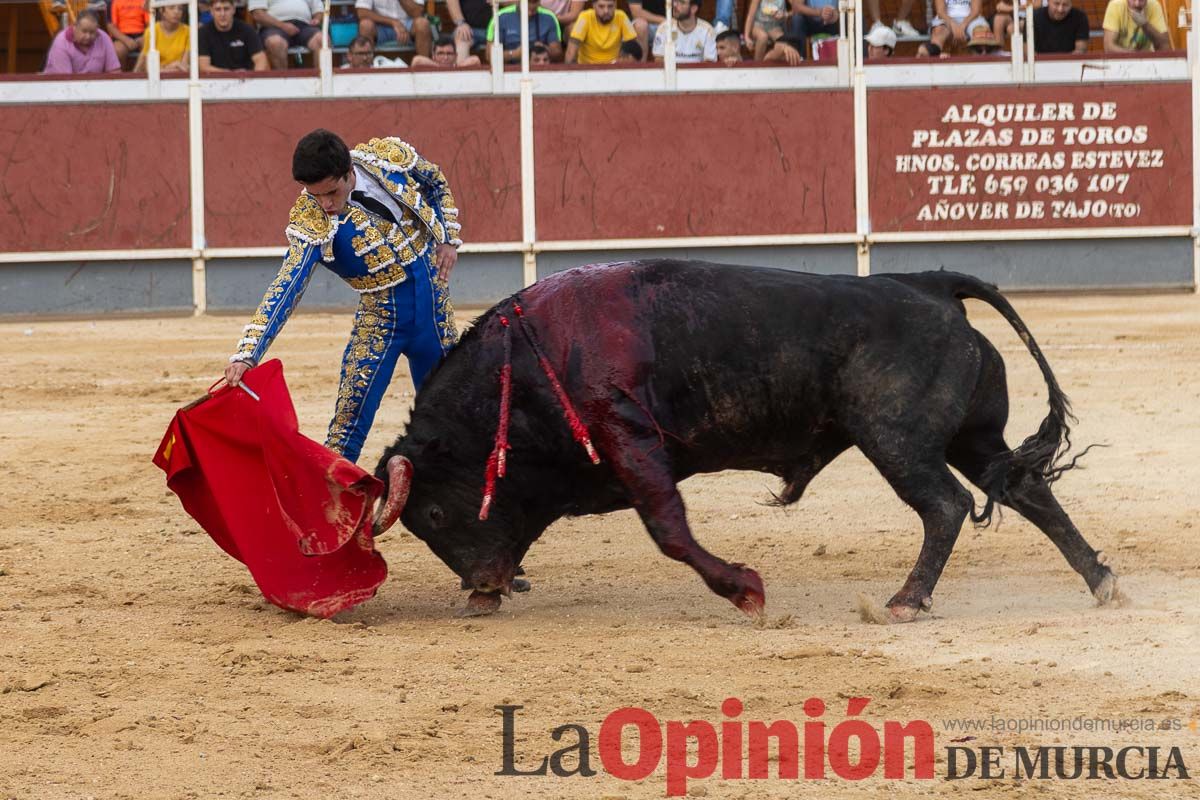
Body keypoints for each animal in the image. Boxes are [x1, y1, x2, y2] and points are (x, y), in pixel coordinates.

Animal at [372, 260, 1113, 623]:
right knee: (1023, 488)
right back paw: (1102, 582)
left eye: (432, 512)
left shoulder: (631, 440)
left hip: (896, 440)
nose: (481, 585)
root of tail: (929, 285)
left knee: (947, 506)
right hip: (972, 436)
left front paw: (745, 591)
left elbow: (668, 529)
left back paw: (906, 600)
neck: (522, 366)